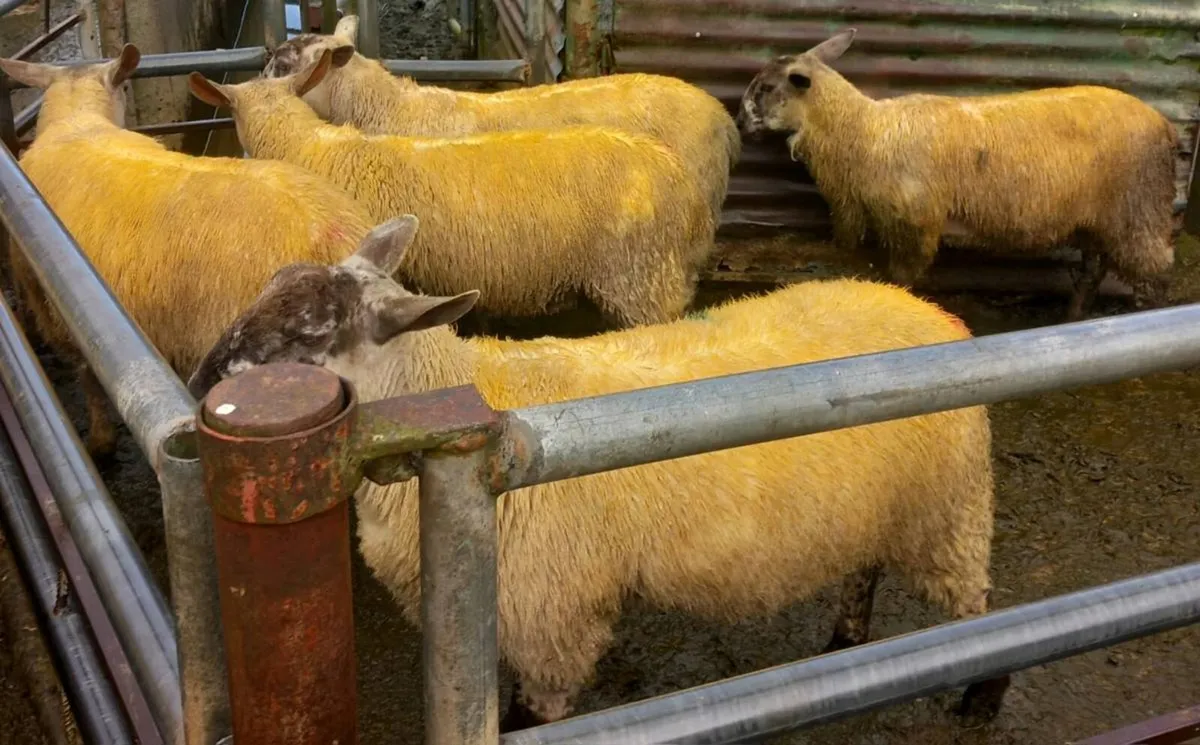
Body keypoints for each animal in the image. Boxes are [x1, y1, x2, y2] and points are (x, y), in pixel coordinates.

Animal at [187, 214, 1011, 734]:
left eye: (309, 334)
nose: (198, 381)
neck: (462, 388)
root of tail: (928, 309)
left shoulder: (553, 618)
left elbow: (529, 718)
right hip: (884, 508)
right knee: (865, 568)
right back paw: (847, 642)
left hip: (947, 510)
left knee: (980, 611)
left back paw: (981, 692)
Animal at [737, 28, 1179, 322]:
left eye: (766, 88)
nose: (740, 123)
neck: (864, 133)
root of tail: (1165, 125)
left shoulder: (915, 224)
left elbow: (902, 278)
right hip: (1099, 219)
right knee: (1092, 271)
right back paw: (1073, 316)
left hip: (1139, 212)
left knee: (1157, 275)